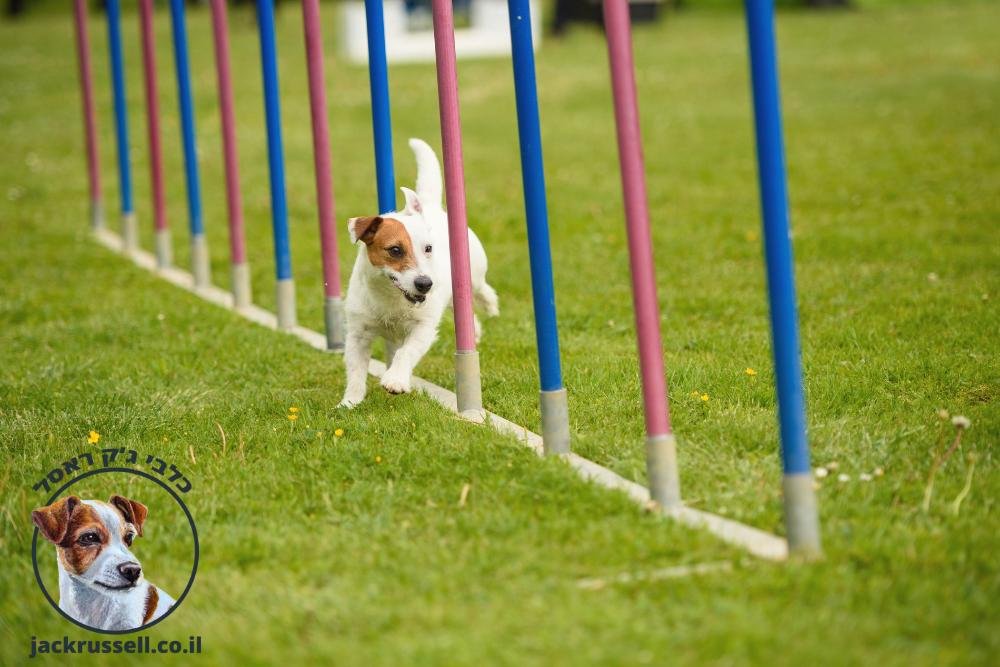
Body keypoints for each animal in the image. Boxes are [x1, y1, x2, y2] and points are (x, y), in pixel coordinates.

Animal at [340, 140, 500, 408]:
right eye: (395, 250)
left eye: (428, 248)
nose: (425, 284)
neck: (391, 298)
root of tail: (430, 207)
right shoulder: (358, 333)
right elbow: (355, 370)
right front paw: (349, 402)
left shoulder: (423, 327)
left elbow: (406, 352)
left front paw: (395, 380)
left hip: (473, 272)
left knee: (478, 289)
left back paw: (490, 303)